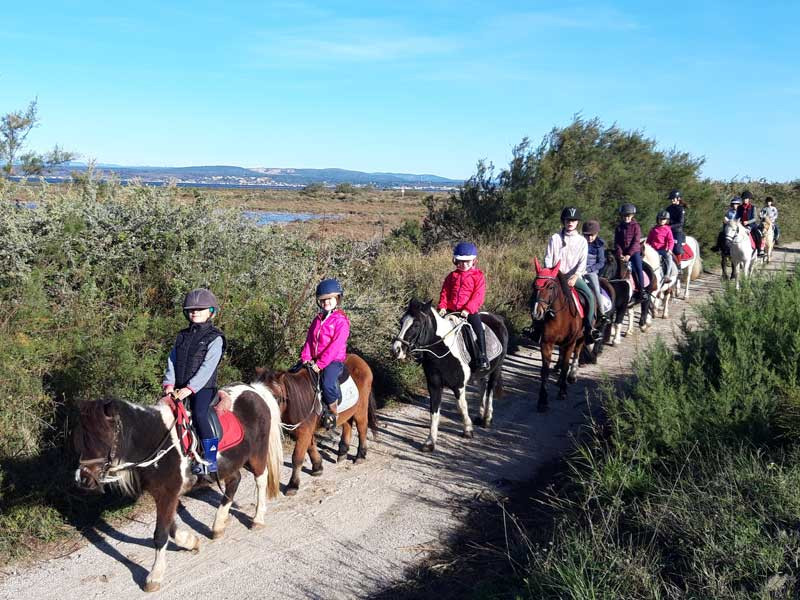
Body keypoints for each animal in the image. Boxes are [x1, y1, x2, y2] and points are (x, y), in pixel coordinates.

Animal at [72, 384, 284, 592]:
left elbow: (160, 534)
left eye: (102, 435)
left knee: (261, 480)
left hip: (257, 454)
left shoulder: (167, 494)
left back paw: (257, 519)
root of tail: (254, 389)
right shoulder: (164, 494)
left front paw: (154, 576)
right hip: (230, 463)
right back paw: (218, 526)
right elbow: (170, 528)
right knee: (234, 481)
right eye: (81, 438)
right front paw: (191, 542)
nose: (83, 479)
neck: (157, 441)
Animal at [256, 352, 382, 496]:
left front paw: (293, 485)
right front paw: (317, 467)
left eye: (275, 397)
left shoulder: (304, 430)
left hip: (361, 408)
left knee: (362, 428)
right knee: (347, 425)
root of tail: (360, 360)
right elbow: (310, 447)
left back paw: (360, 455)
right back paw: (342, 452)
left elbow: (297, 457)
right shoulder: (304, 430)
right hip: (348, 411)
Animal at [390, 298, 510, 452]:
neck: (442, 351)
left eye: (416, 324)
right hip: (481, 374)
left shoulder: (458, 386)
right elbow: (434, 412)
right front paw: (430, 442)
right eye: (401, 322)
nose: (396, 350)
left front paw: (468, 430)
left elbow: (461, 407)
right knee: (482, 388)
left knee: (489, 390)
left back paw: (487, 418)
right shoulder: (434, 385)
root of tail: (498, 318)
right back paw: (479, 415)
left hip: (496, 368)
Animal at [532, 258, 588, 412]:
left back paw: (572, 376)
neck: (560, 317)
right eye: (534, 286)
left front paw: (563, 391)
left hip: (581, 337)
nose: (537, 313)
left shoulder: (570, 343)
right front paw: (542, 400)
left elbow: (565, 366)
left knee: (577, 352)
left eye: (550, 287)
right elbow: (545, 371)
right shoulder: (546, 344)